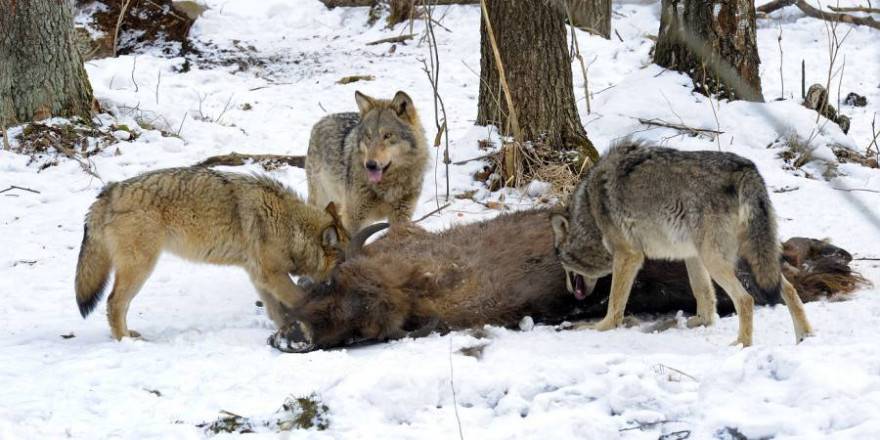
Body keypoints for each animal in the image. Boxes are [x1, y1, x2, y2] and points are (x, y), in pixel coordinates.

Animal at [75, 166, 348, 340]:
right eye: (345, 261)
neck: (290, 225)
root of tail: (110, 191)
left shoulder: (258, 275)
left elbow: (276, 310)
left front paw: (286, 331)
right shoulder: (273, 275)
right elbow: (299, 299)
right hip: (141, 268)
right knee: (114, 303)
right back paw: (125, 339)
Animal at [306, 90, 430, 234]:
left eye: (387, 135)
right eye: (368, 136)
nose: (370, 165)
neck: (388, 188)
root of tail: (321, 120)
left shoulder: (401, 219)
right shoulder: (354, 220)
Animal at [552, 141, 816, 348]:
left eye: (562, 264)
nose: (568, 290)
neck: (591, 212)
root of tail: (746, 168)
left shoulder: (628, 256)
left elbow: (615, 304)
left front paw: (599, 327)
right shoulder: (692, 255)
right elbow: (703, 293)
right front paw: (703, 321)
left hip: (718, 260)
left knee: (746, 299)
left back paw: (741, 344)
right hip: (747, 258)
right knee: (789, 290)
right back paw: (805, 337)